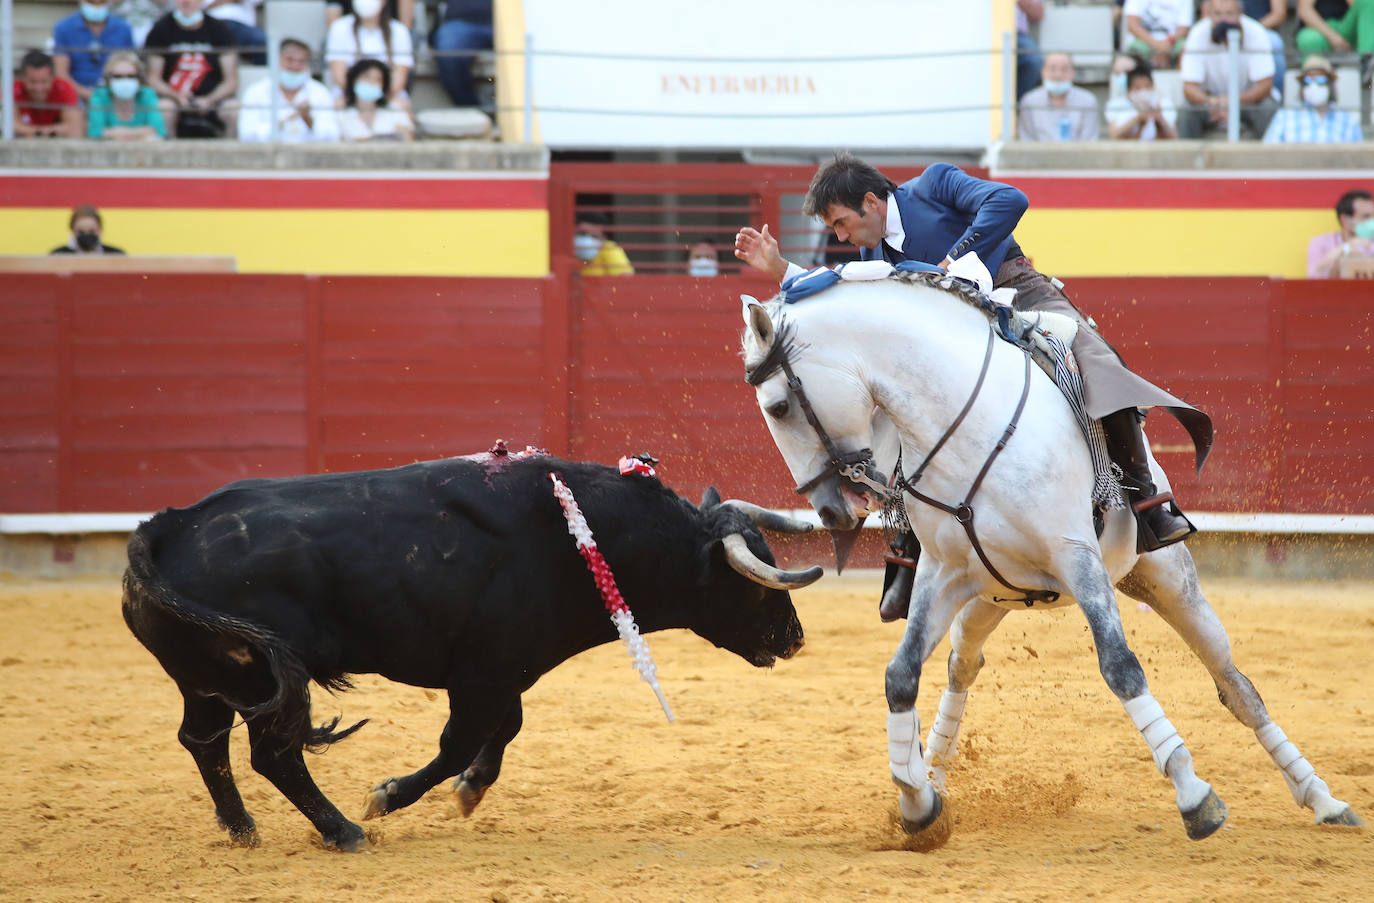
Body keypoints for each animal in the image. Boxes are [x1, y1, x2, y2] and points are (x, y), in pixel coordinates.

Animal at [123, 453, 813, 846]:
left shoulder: (505, 672)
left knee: (205, 742)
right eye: (754, 586)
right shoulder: (483, 673)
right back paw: (343, 831)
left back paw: (242, 829)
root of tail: (165, 527)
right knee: (272, 755)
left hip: (209, 679)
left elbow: (505, 729)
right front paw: (388, 796)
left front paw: (471, 789)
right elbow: (462, 740)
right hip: (253, 681)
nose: (795, 638)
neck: (582, 536)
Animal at [741, 273, 1363, 846]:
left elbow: (1120, 666)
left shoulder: (1077, 559)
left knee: (1235, 684)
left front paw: (1194, 796)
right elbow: (901, 675)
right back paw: (933, 772)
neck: (961, 424)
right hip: (991, 599)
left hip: (1164, 576)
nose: (831, 511)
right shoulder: (942, 575)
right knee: (962, 666)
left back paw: (1325, 800)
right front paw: (918, 804)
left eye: (779, 406)